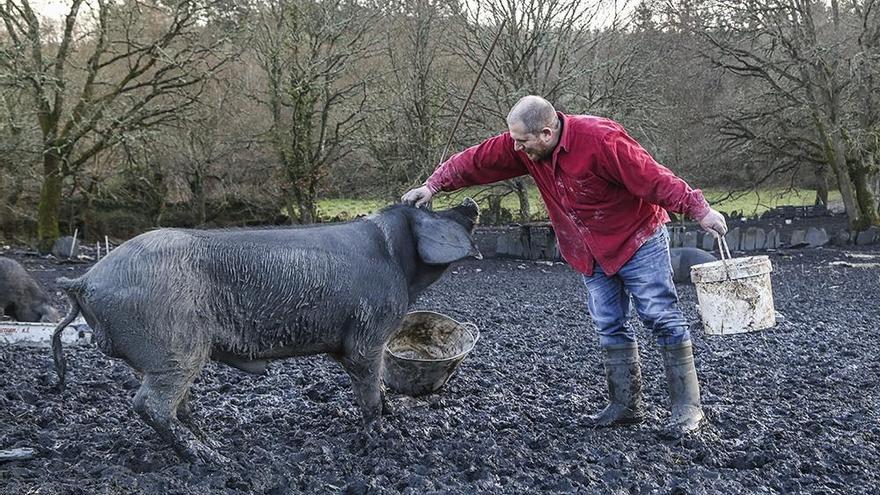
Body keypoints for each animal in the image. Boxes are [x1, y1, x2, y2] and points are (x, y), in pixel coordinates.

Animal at [50, 200, 482, 464]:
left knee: (176, 405)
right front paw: (376, 439)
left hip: (162, 357)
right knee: (148, 404)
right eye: (429, 208)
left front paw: (392, 414)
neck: (398, 263)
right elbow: (369, 390)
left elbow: (374, 385)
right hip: (174, 347)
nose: (471, 203)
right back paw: (214, 460)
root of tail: (85, 280)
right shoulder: (368, 333)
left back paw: (213, 442)